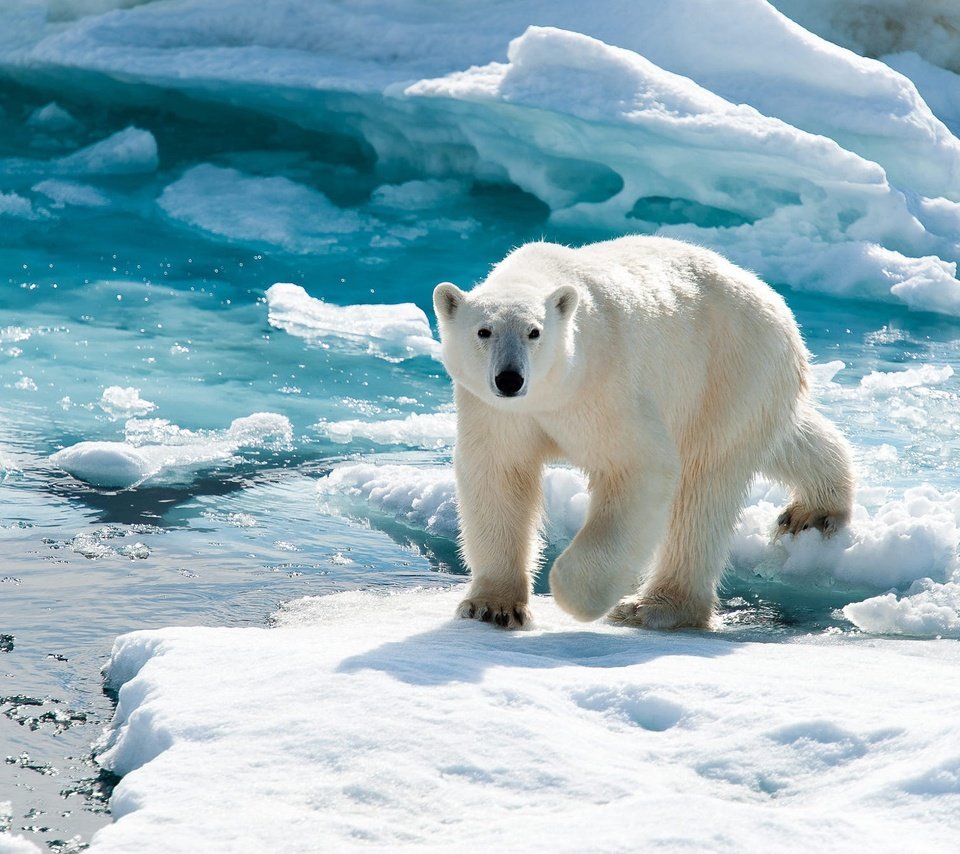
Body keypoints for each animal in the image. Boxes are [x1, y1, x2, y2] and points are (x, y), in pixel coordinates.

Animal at [432, 237, 852, 632]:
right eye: (484, 331)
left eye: (534, 332)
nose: (509, 378)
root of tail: (773, 299)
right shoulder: (495, 410)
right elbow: (499, 474)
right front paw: (493, 606)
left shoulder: (603, 385)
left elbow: (638, 467)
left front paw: (574, 594)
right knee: (785, 438)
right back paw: (813, 510)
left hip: (727, 369)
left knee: (703, 486)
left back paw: (651, 607)